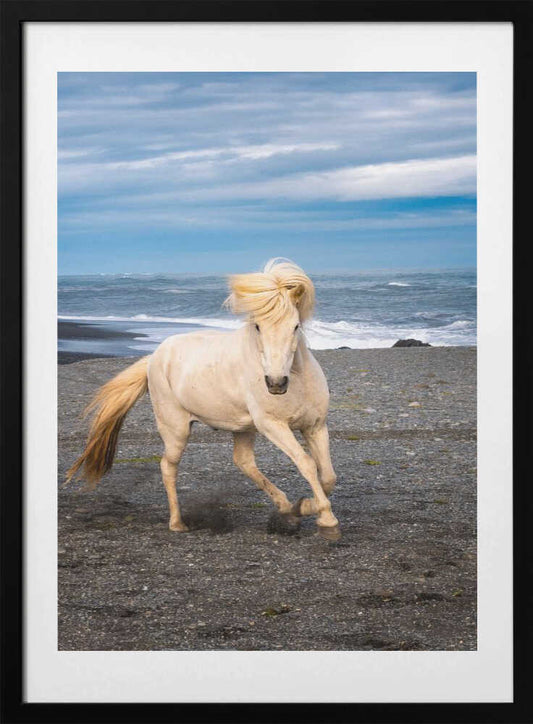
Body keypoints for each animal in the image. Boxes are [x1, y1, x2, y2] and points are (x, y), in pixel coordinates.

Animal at [66, 258, 340, 540]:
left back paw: (286, 507)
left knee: (244, 462)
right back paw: (177, 523)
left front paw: (304, 507)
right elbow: (307, 464)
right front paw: (325, 519)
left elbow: (328, 475)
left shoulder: (315, 426)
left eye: (295, 326)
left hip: (243, 427)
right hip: (176, 430)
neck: (297, 380)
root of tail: (154, 356)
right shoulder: (273, 426)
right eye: (258, 326)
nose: (276, 383)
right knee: (168, 466)